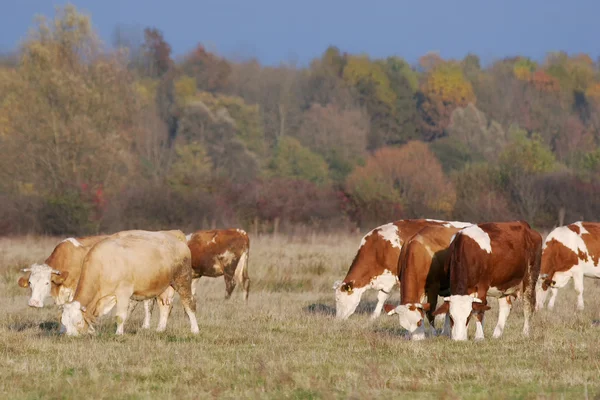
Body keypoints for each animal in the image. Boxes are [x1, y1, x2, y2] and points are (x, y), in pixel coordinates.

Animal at [58, 230, 196, 336]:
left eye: (78, 322)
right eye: (64, 323)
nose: (70, 336)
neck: (103, 264)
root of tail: (177, 239)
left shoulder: (123, 293)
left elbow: (120, 316)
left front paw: (119, 334)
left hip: (183, 281)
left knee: (189, 304)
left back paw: (195, 330)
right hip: (164, 287)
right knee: (165, 306)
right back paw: (160, 329)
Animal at [336, 217, 472, 320]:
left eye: (339, 300)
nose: (338, 319)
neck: (379, 248)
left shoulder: (393, 278)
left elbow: (383, 297)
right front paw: (374, 316)